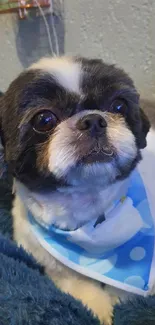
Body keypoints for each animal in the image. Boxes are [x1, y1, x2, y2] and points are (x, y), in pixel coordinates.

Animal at [0, 57, 150, 322]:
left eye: (119, 106)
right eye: (44, 120)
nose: (93, 120)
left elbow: (126, 292)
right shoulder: (54, 265)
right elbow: (81, 289)